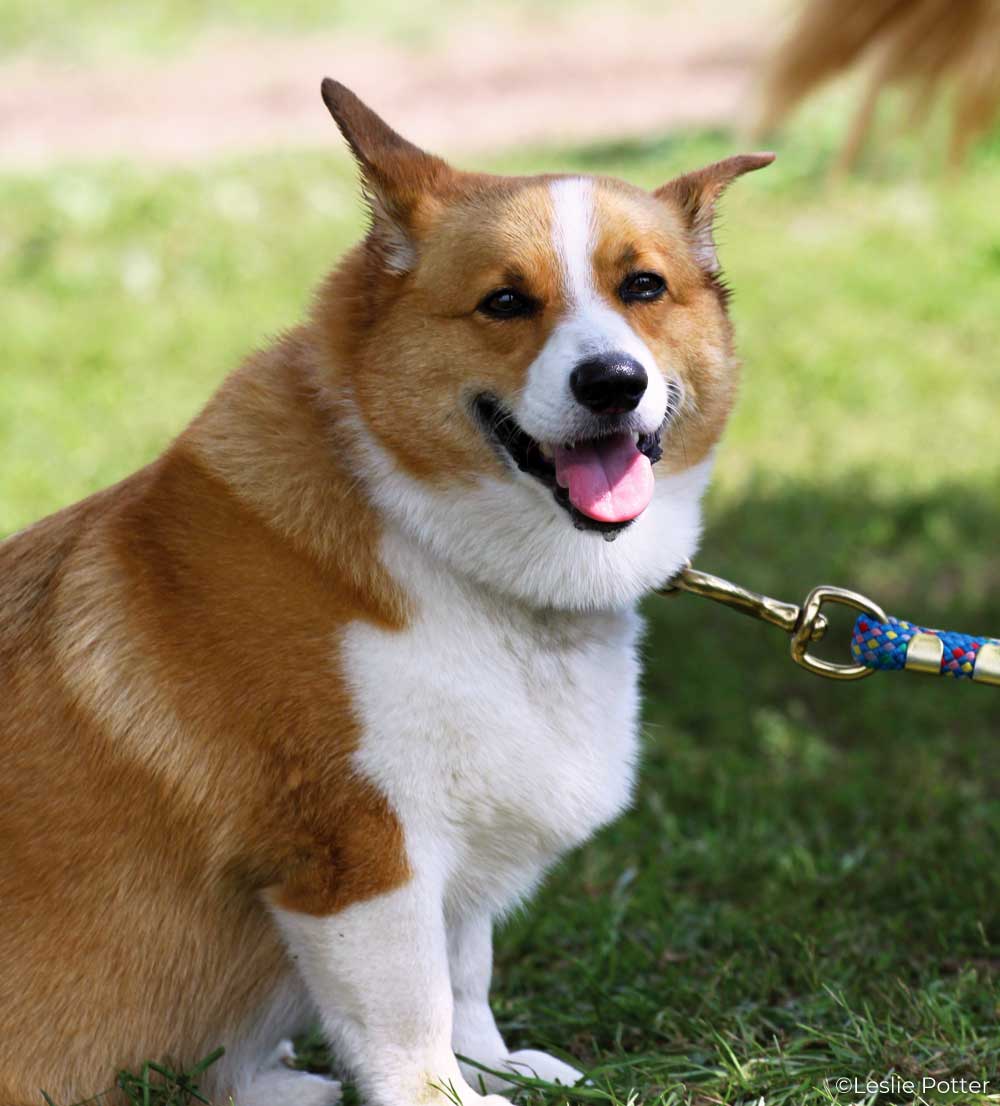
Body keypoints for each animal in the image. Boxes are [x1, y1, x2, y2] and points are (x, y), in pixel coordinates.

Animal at [0, 84, 774, 1106]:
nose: (613, 382)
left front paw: (499, 1064)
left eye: (643, 287)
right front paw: (452, 1093)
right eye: (504, 302)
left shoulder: (452, 834)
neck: (431, 532)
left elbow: (465, 968)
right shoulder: (360, 852)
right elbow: (411, 1012)